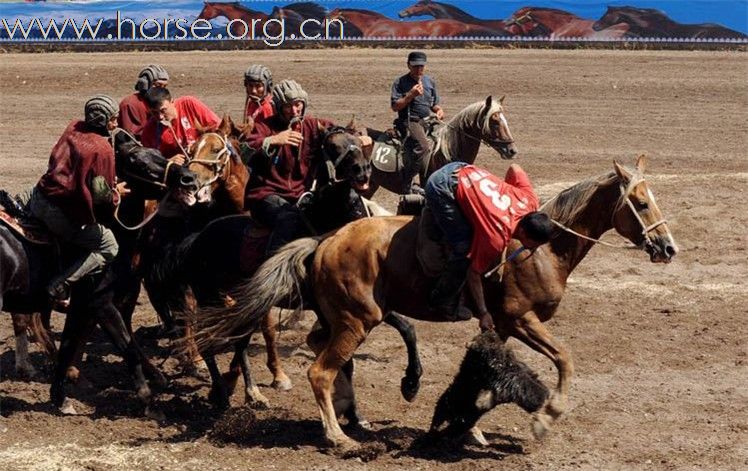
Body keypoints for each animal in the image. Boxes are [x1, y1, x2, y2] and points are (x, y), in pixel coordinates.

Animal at [0, 136, 199, 416]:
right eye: (136, 161)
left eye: (158, 153)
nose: (189, 178)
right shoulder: (102, 305)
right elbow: (128, 348)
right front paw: (148, 401)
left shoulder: (83, 307)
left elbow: (67, 348)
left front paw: (61, 398)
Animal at [188, 156, 676, 450]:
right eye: (640, 202)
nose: (667, 247)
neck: (538, 250)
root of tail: (323, 242)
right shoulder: (522, 319)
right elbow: (565, 359)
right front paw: (545, 417)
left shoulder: (499, 325)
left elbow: (485, 372)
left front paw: (473, 426)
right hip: (357, 319)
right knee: (319, 371)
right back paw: (336, 435)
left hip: (342, 317)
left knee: (320, 350)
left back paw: (349, 413)